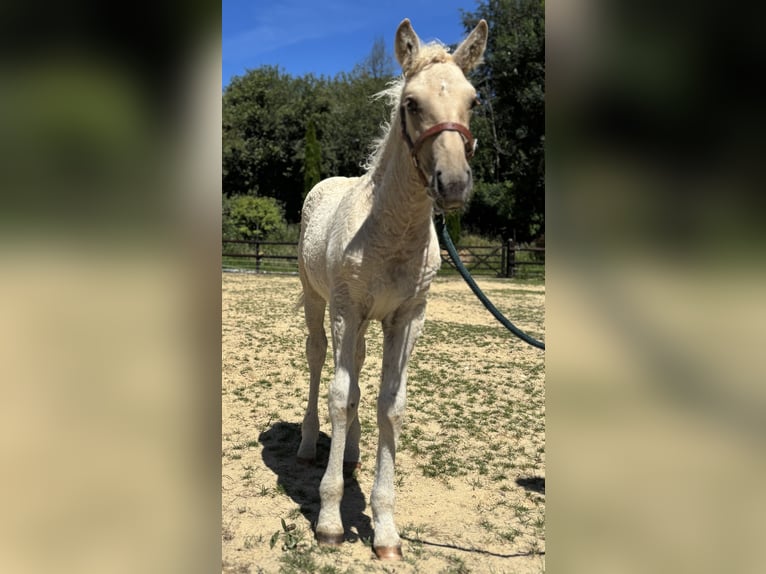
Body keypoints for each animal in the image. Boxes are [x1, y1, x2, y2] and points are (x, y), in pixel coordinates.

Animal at [296, 18, 488, 560]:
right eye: (412, 103)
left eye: (472, 100)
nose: (453, 185)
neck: (392, 230)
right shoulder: (345, 308)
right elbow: (340, 396)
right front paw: (330, 522)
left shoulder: (407, 318)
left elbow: (389, 405)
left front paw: (385, 531)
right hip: (319, 302)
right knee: (319, 360)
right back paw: (307, 446)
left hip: (365, 323)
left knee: (359, 372)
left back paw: (352, 455)